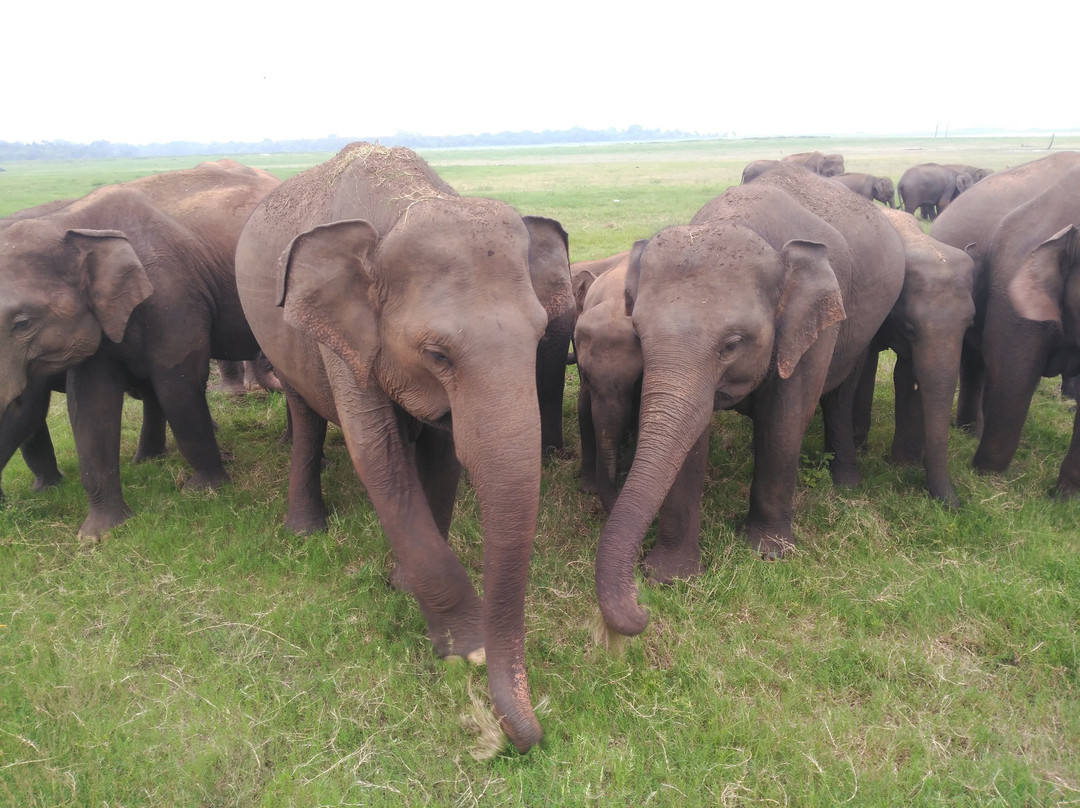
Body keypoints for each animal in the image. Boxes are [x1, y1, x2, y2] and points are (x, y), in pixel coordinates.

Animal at [233, 141, 570, 756]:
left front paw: (402, 585)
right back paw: (304, 529)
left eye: (540, 337)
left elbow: (441, 453)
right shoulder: (343, 338)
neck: (407, 205)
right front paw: (467, 650)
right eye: (436, 354)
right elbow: (377, 456)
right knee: (304, 413)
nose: (527, 737)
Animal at [596, 165, 907, 639]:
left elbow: (783, 419)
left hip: (862, 322)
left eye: (732, 344)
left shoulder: (809, 323)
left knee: (840, 391)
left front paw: (768, 554)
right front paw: (672, 577)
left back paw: (846, 484)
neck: (741, 223)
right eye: (637, 334)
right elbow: (691, 434)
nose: (641, 608)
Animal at [851, 208, 980, 505]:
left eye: (969, 324)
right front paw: (860, 450)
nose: (957, 505)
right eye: (910, 327)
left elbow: (908, 373)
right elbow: (867, 365)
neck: (914, 239)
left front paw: (904, 466)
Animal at [928, 151, 1080, 492]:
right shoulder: (1013, 277)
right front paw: (988, 477)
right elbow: (1013, 372)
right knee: (975, 361)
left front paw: (1064, 497)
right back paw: (970, 434)